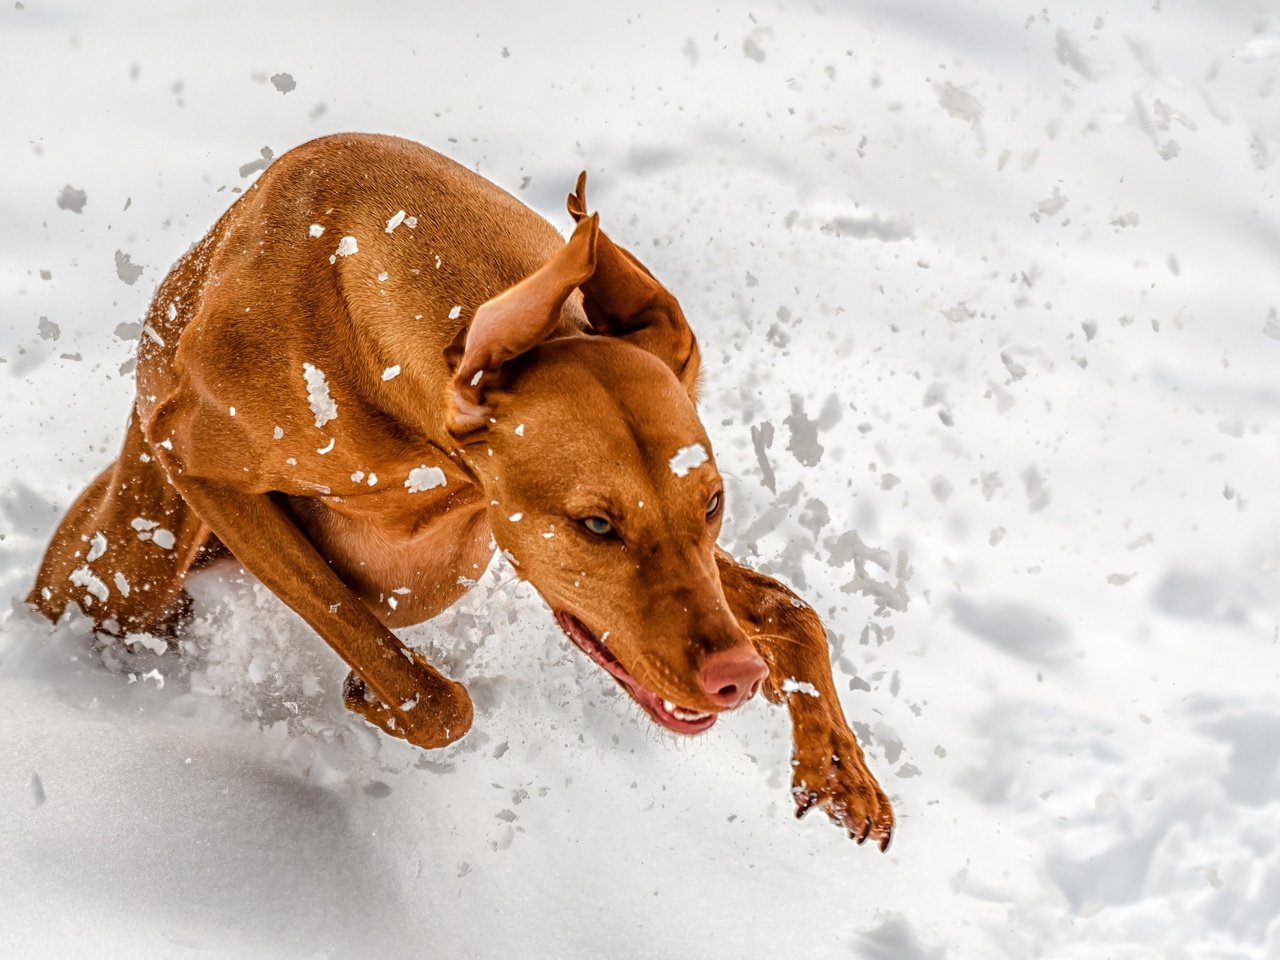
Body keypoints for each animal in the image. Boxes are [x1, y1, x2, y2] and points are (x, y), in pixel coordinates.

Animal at [27, 131, 890, 855]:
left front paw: (839, 769)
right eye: (596, 525)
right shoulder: (199, 466)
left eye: (712, 503)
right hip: (127, 568)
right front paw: (376, 693)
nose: (736, 677)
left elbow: (789, 606)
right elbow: (416, 681)